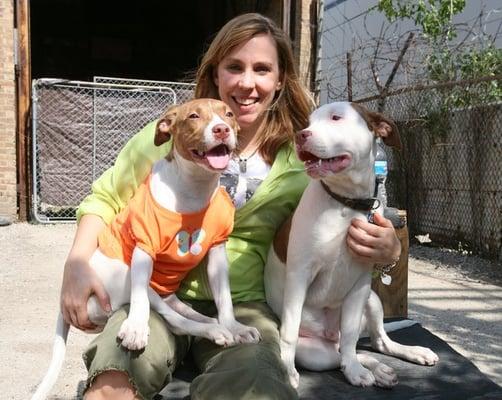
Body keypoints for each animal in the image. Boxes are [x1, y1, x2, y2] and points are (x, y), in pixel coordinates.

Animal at [31, 99, 260, 400]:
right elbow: (141, 301)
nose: (222, 129)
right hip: (124, 274)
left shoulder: (217, 252)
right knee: (169, 317)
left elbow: (224, 298)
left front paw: (235, 325)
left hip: (164, 293)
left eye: (229, 114)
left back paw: (220, 327)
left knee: (179, 312)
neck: (193, 188)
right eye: (193, 116)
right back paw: (212, 331)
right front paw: (137, 329)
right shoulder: (143, 248)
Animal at [264, 101, 438, 390]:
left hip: (373, 300)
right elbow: (289, 330)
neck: (346, 203)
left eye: (336, 118)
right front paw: (287, 372)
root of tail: (328, 335)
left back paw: (402, 357)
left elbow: (350, 337)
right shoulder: (299, 275)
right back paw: (376, 369)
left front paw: (354, 371)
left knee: (373, 343)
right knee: (348, 352)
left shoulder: (360, 284)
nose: (301, 135)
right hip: (314, 355)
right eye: (307, 123)